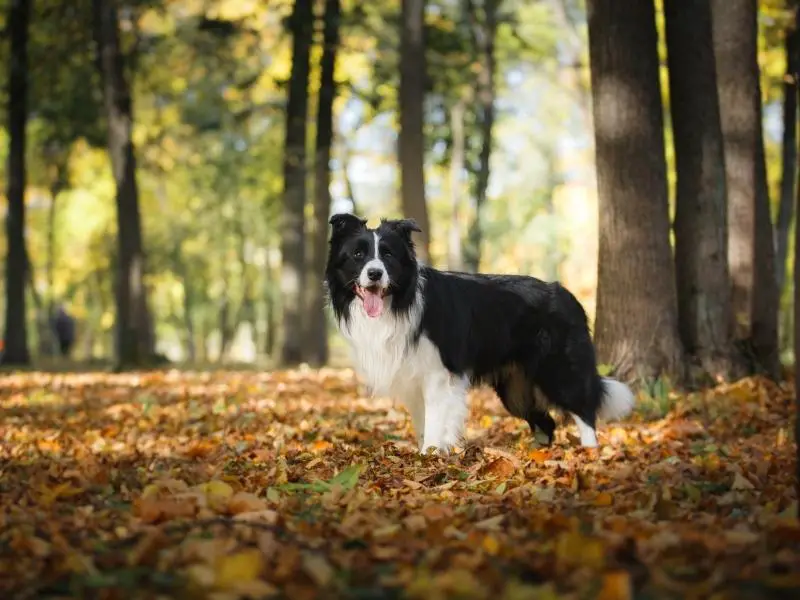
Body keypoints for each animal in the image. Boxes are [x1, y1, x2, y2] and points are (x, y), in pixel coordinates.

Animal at [322, 213, 636, 452]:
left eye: (388, 255)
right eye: (358, 254)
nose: (375, 274)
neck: (399, 303)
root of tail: (566, 294)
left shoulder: (437, 374)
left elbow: (435, 422)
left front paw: (430, 456)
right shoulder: (412, 377)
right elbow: (423, 422)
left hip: (559, 368)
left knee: (584, 410)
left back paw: (589, 453)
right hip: (515, 388)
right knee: (546, 422)